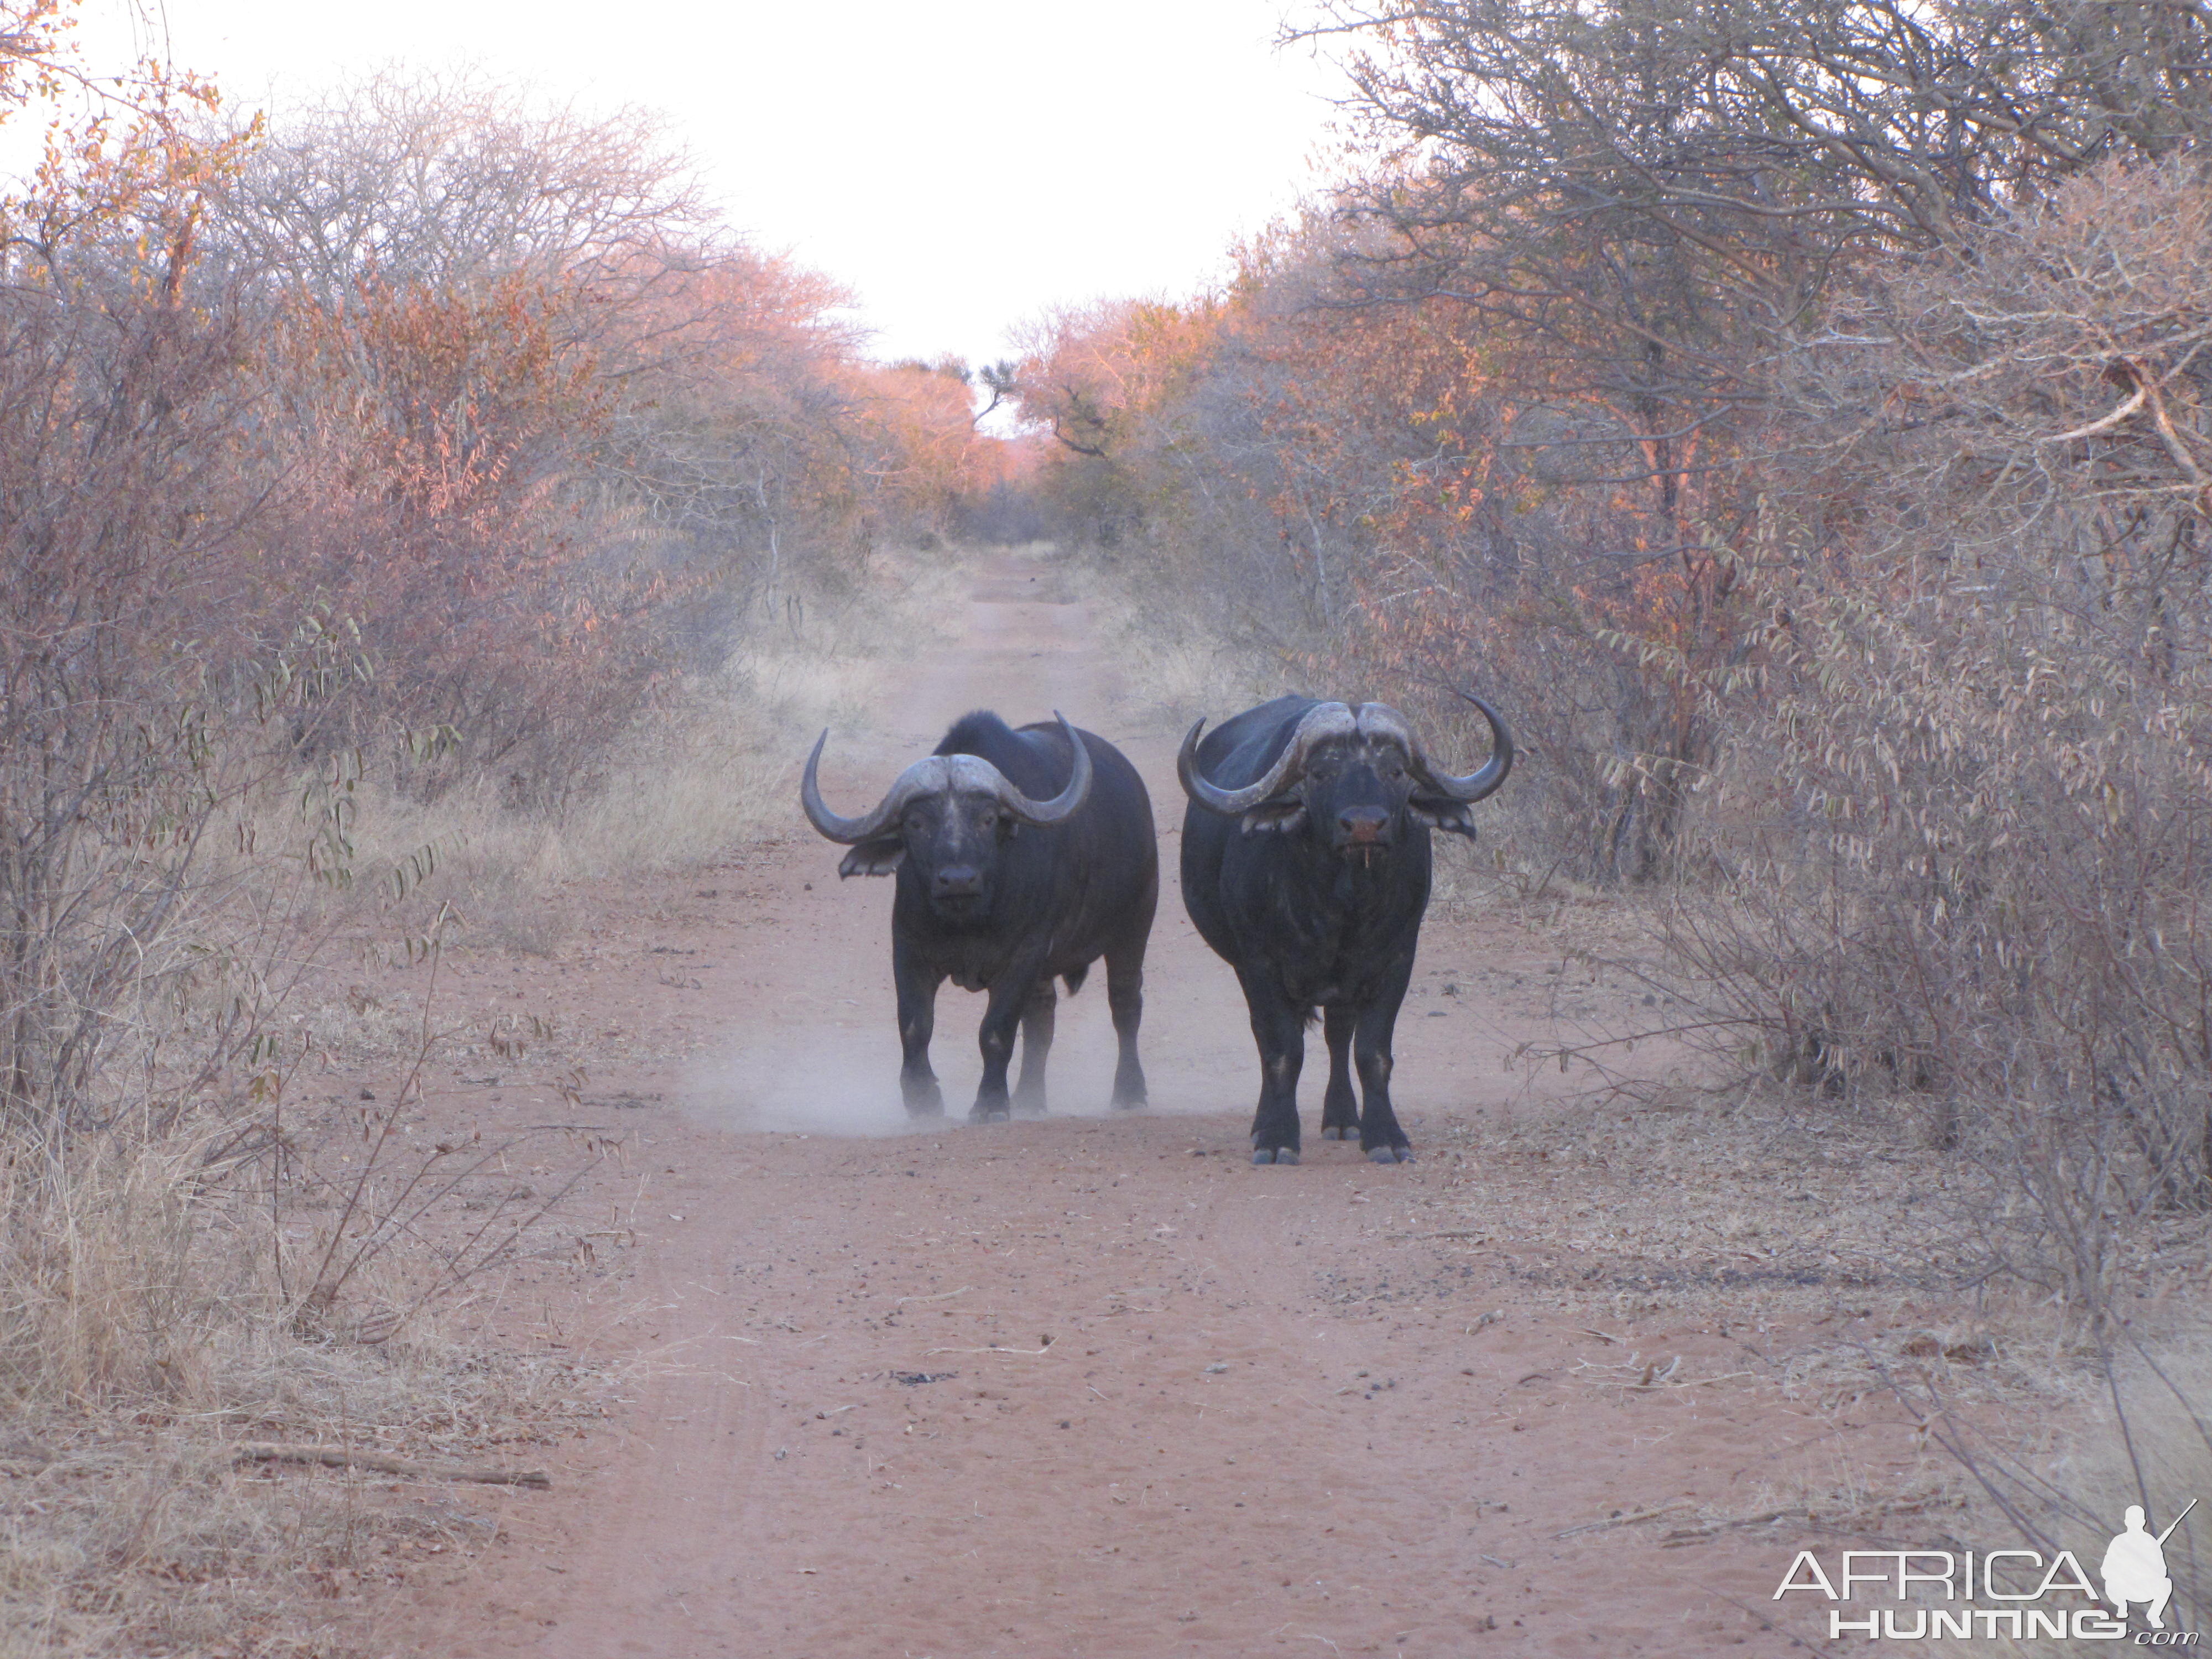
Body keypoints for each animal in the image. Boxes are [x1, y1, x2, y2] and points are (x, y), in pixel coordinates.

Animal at [801, 708, 1159, 1124]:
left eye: (987, 819)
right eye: (916, 823)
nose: (958, 879)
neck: (969, 919)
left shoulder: (1024, 953)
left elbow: (996, 1032)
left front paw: (990, 1104)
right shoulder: (908, 949)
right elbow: (915, 1026)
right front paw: (923, 1099)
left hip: (1134, 927)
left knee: (1125, 1003)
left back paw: (1129, 1092)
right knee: (1042, 1018)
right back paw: (1029, 1099)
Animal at [1177, 699, 1522, 1168]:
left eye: (1394, 771)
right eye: (1322, 773)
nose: (1364, 825)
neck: (1342, 902)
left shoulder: (1397, 961)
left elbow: (1372, 1053)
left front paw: (1386, 1136)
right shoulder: (1260, 964)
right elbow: (1282, 1051)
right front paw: (1277, 1137)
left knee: (1338, 1038)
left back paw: (1342, 1119)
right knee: (1267, 1038)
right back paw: (1264, 1123)